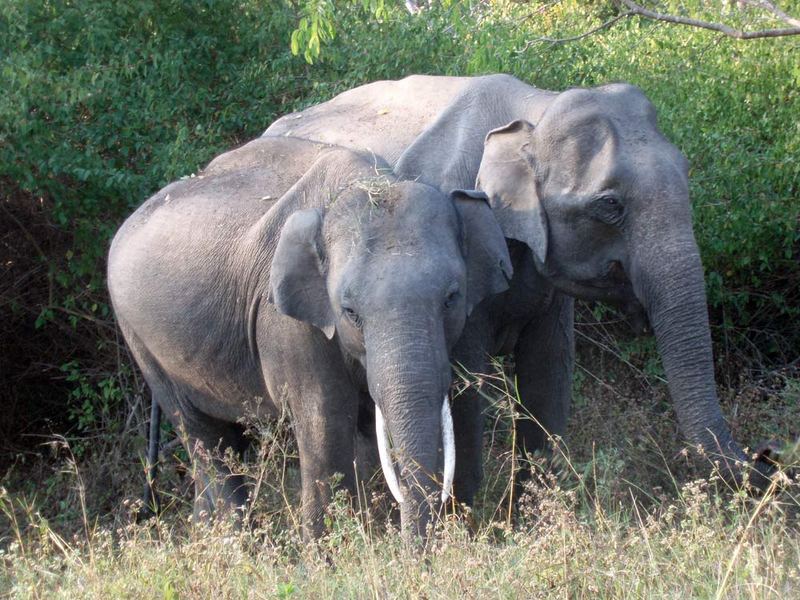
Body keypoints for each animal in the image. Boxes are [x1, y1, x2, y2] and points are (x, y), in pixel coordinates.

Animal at [108, 136, 512, 540]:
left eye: (451, 297)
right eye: (349, 311)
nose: (415, 550)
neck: (369, 182)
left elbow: (457, 402)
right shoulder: (288, 323)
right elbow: (326, 421)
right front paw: (328, 549)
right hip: (140, 341)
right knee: (204, 437)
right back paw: (238, 540)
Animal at [268, 74, 776, 502]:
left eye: (686, 175)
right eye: (609, 205)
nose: (768, 456)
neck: (536, 107)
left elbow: (548, 371)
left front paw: (531, 512)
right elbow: (466, 384)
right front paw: (469, 522)